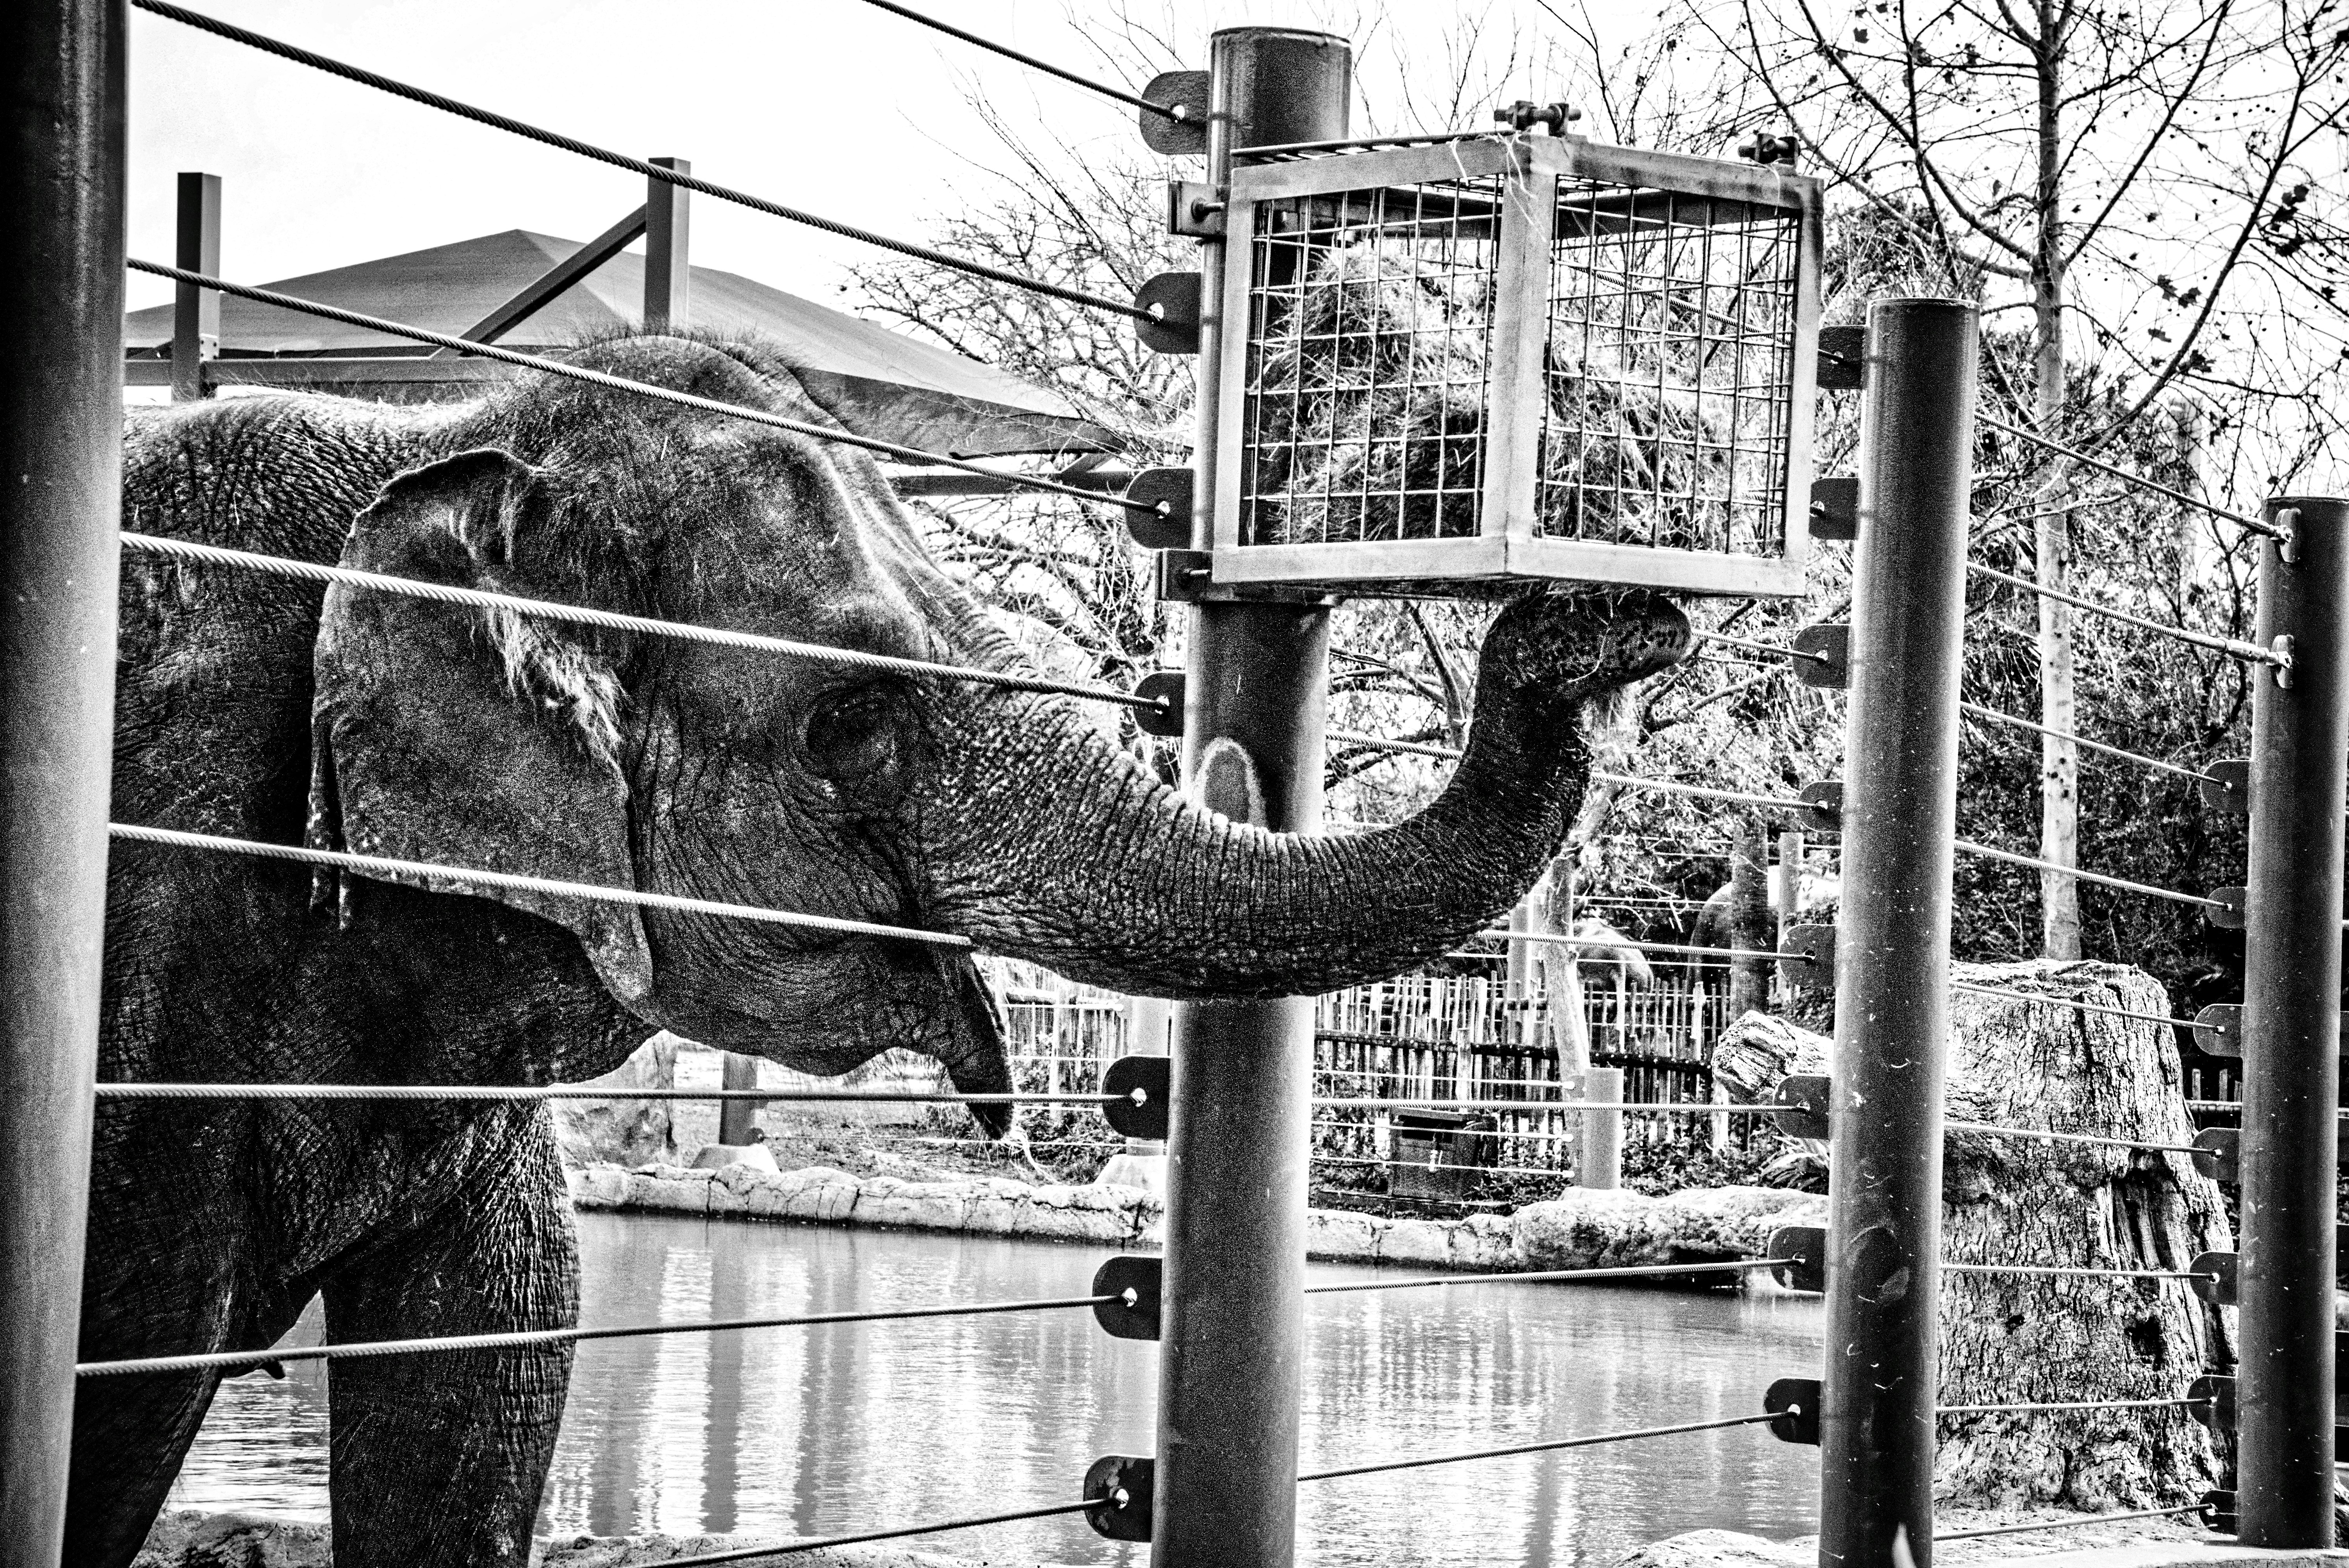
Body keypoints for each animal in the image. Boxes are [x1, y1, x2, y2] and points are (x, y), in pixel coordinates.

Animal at [76, 333, 1690, 1568]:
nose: (1610, 609)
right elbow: (131, 1357)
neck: (451, 442)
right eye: (852, 721)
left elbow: (492, 1359)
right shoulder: (153, 935)